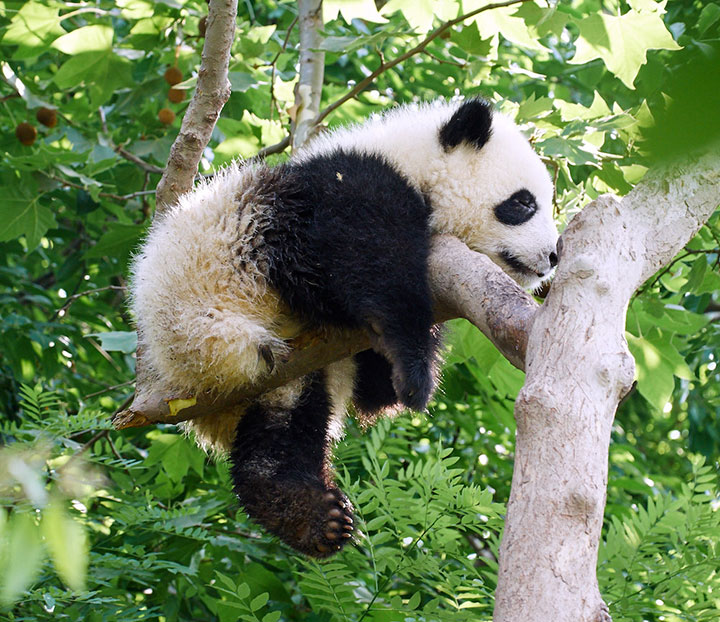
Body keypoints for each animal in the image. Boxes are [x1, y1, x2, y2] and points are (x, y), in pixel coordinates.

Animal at [129, 98, 560, 560]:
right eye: (523, 203)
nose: (554, 255)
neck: (410, 160)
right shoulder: (337, 191)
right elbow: (361, 262)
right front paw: (414, 370)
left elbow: (374, 390)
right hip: (216, 296)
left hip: (283, 371)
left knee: (285, 426)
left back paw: (303, 513)